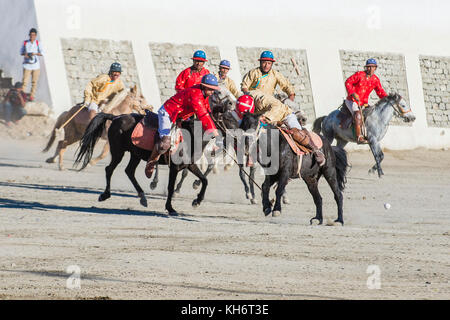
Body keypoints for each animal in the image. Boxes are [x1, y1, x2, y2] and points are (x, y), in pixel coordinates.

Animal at [75, 112, 211, 215]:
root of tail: (116, 117)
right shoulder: (174, 167)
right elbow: (170, 187)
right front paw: (170, 208)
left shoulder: (190, 165)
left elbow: (204, 180)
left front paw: (197, 201)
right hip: (118, 151)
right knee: (109, 169)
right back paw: (105, 195)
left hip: (135, 154)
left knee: (129, 171)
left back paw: (142, 197)